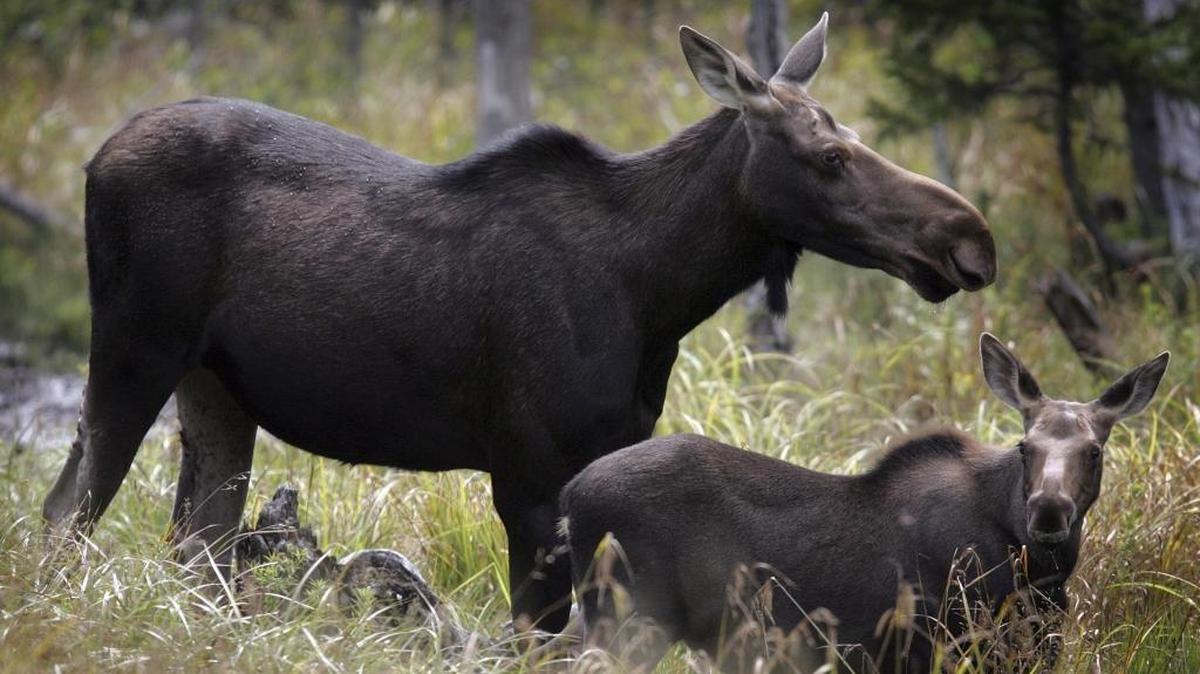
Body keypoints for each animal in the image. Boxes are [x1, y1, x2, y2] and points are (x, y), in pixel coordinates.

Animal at [561, 334, 1169, 670]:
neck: (1042, 574)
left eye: (1094, 450)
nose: (1047, 510)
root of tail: (569, 497)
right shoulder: (948, 645)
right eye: (1026, 447)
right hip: (629, 618)